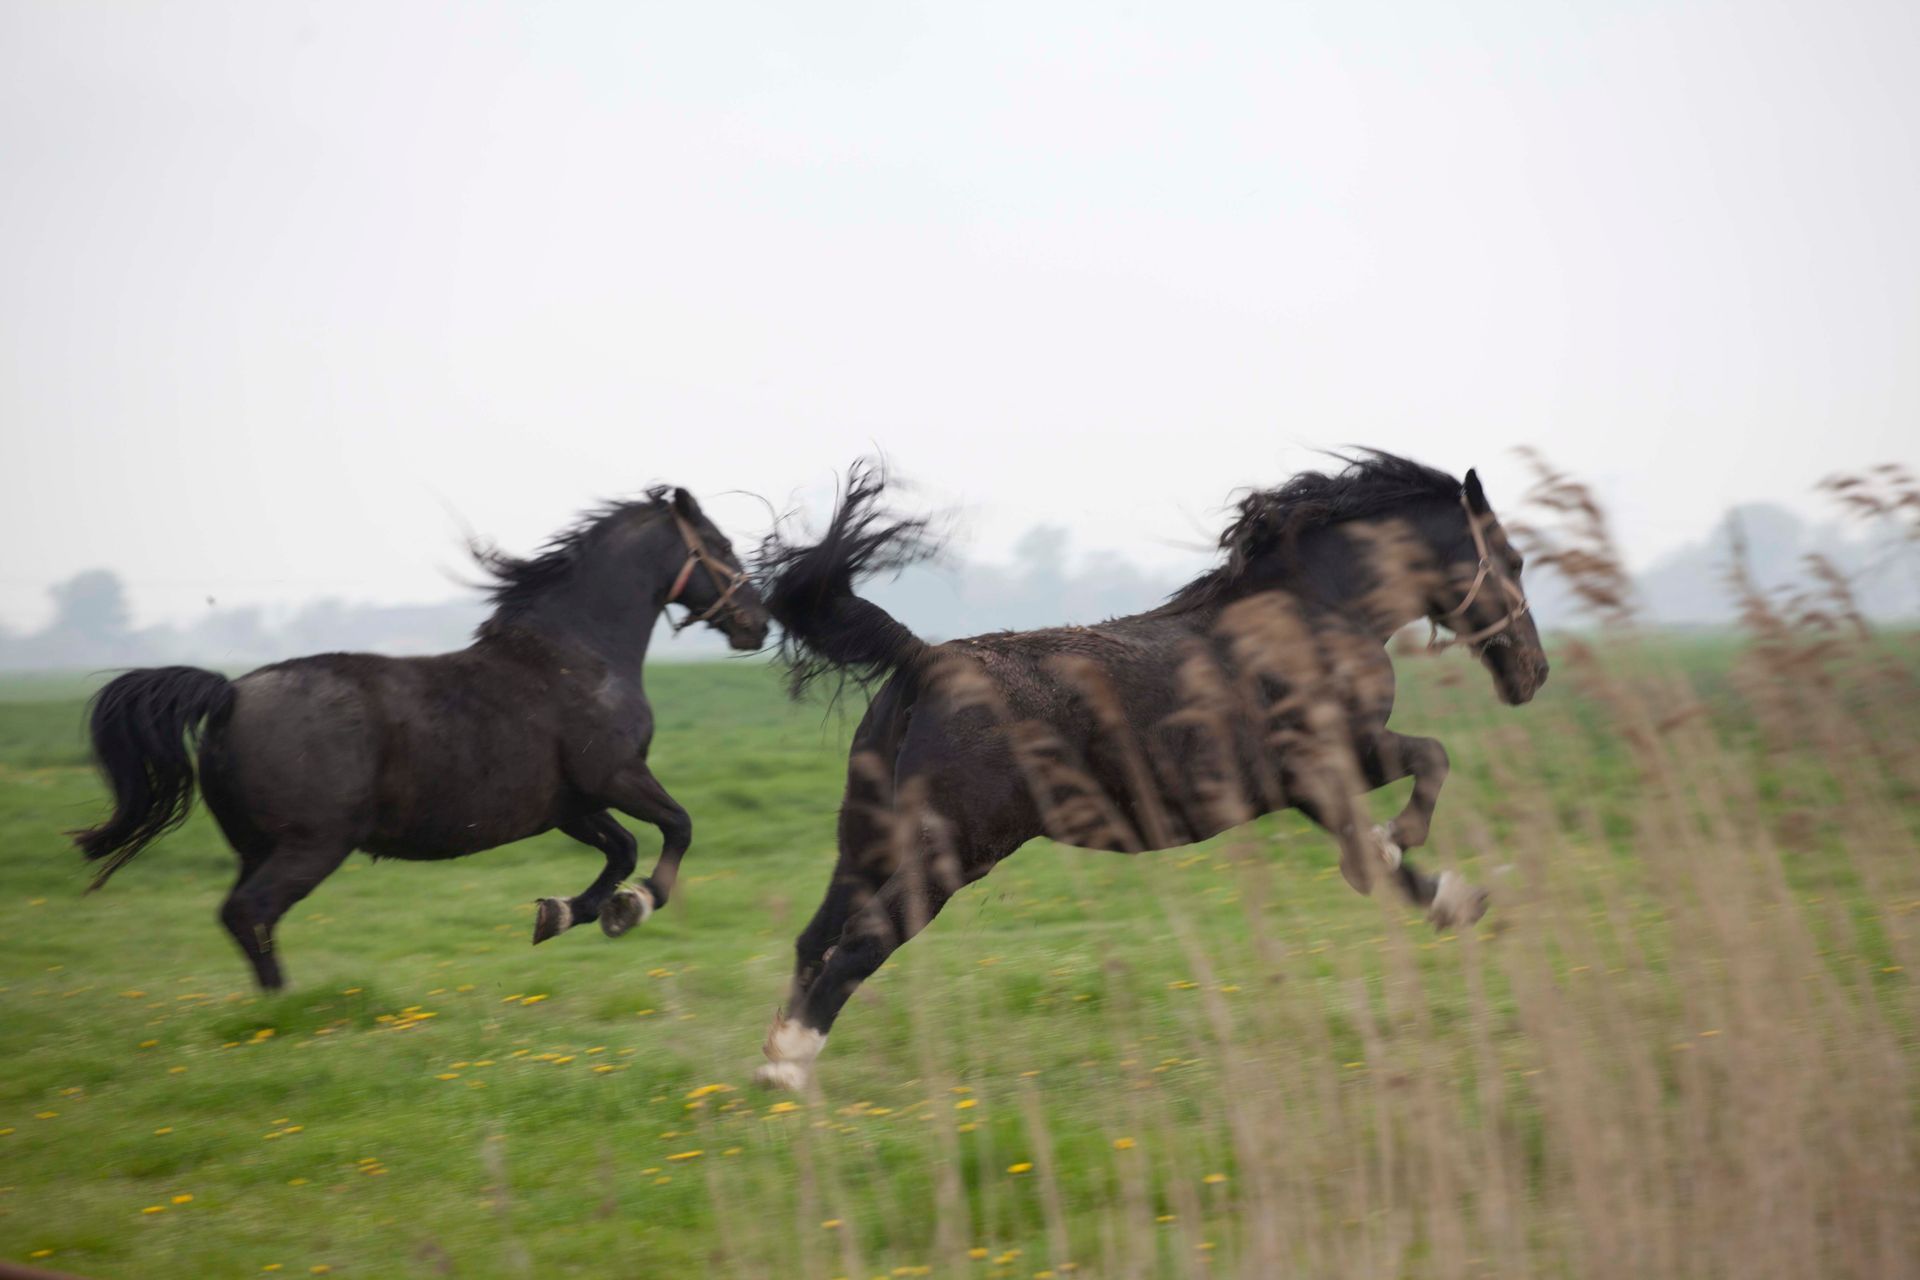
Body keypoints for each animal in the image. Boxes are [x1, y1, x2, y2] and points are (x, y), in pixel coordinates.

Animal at [71, 486, 769, 990]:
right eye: (720, 544)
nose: (757, 623)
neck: (580, 657)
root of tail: (230, 696)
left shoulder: (570, 805)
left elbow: (621, 849)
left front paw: (560, 914)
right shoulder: (617, 776)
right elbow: (677, 828)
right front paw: (635, 906)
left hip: (256, 846)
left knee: (242, 915)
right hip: (311, 846)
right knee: (251, 913)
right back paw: (286, 1009)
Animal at [749, 452, 1548, 1090]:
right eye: (1511, 560)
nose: (1532, 673)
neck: (1312, 615)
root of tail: (924, 660)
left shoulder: (1304, 783)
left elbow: (1379, 837)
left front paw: (1444, 896)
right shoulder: (1337, 754)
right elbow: (1430, 759)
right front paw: (1397, 846)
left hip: (866, 839)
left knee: (815, 939)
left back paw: (774, 1053)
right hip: (952, 851)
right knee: (861, 942)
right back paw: (789, 1067)